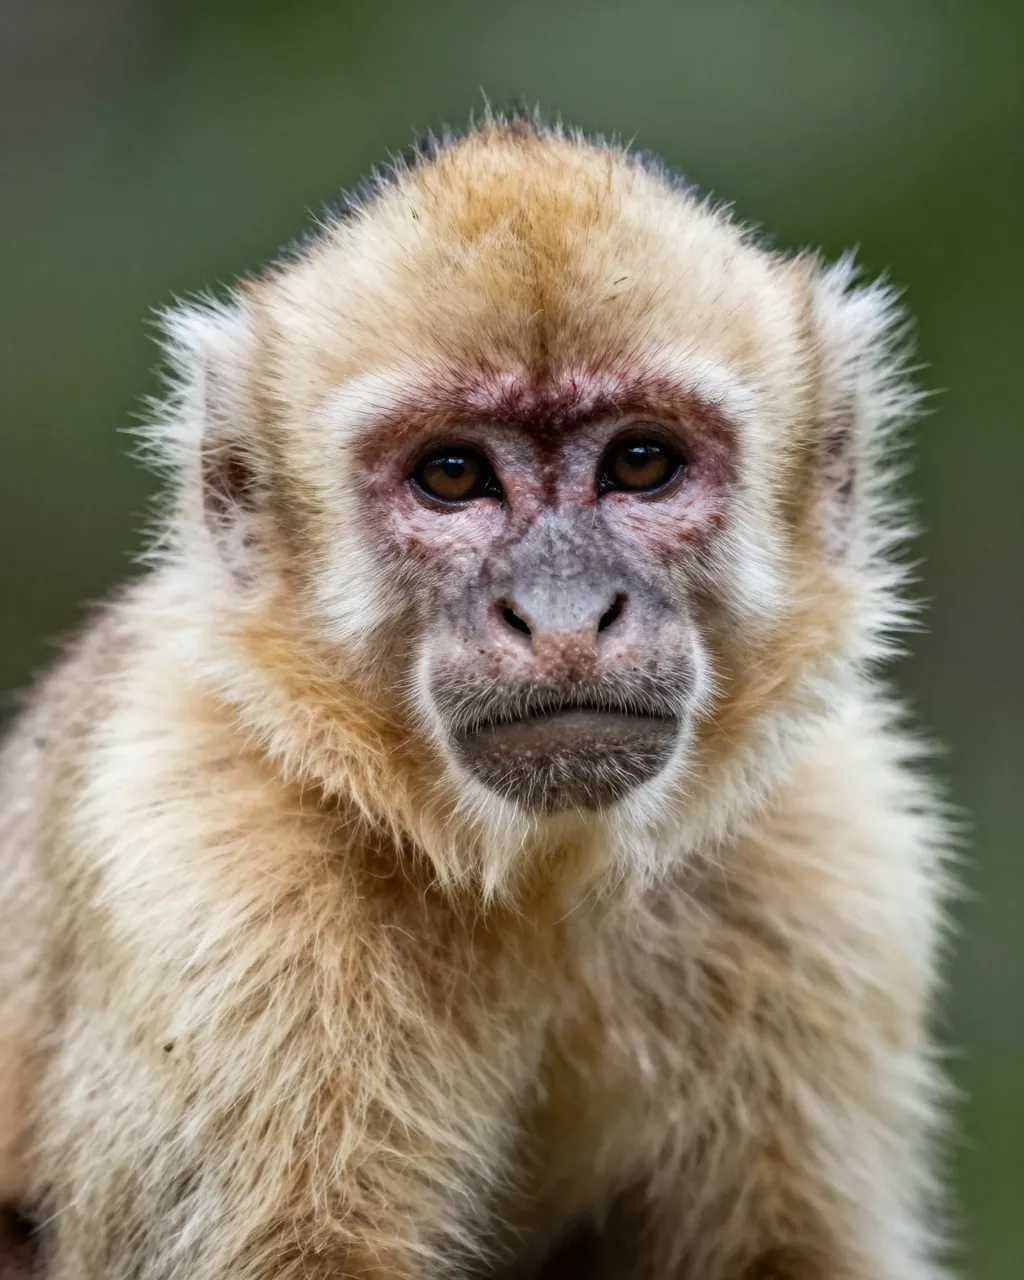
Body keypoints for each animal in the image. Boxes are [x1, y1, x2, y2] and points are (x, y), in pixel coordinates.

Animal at [0, 116, 952, 1280]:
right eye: (453, 476)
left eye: (641, 462)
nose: (562, 613)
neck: (537, 872)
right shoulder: (206, 857)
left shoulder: (830, 855)